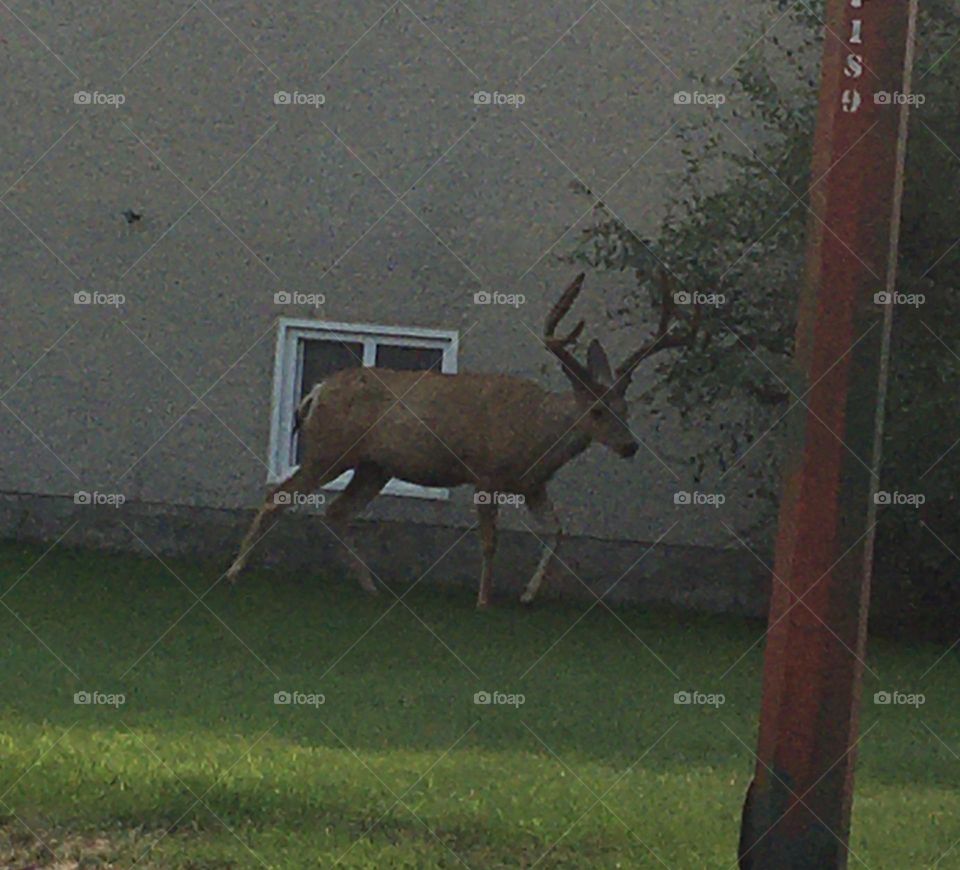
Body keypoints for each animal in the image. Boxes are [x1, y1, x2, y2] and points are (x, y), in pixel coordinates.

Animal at [225, 270, 700, 608]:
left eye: (626, 409)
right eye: (598, 410)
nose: (629, 446)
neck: (536, 434)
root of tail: (316, 392)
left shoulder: (533, 485)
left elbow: (557, 530)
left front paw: (528, 594)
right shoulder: (486, 472)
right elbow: (491, 540)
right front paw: (484, 600)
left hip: (374, 466)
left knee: (337, 511)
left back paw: (370, 586)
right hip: (330, 449)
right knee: (279, 496)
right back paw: (234, 572)